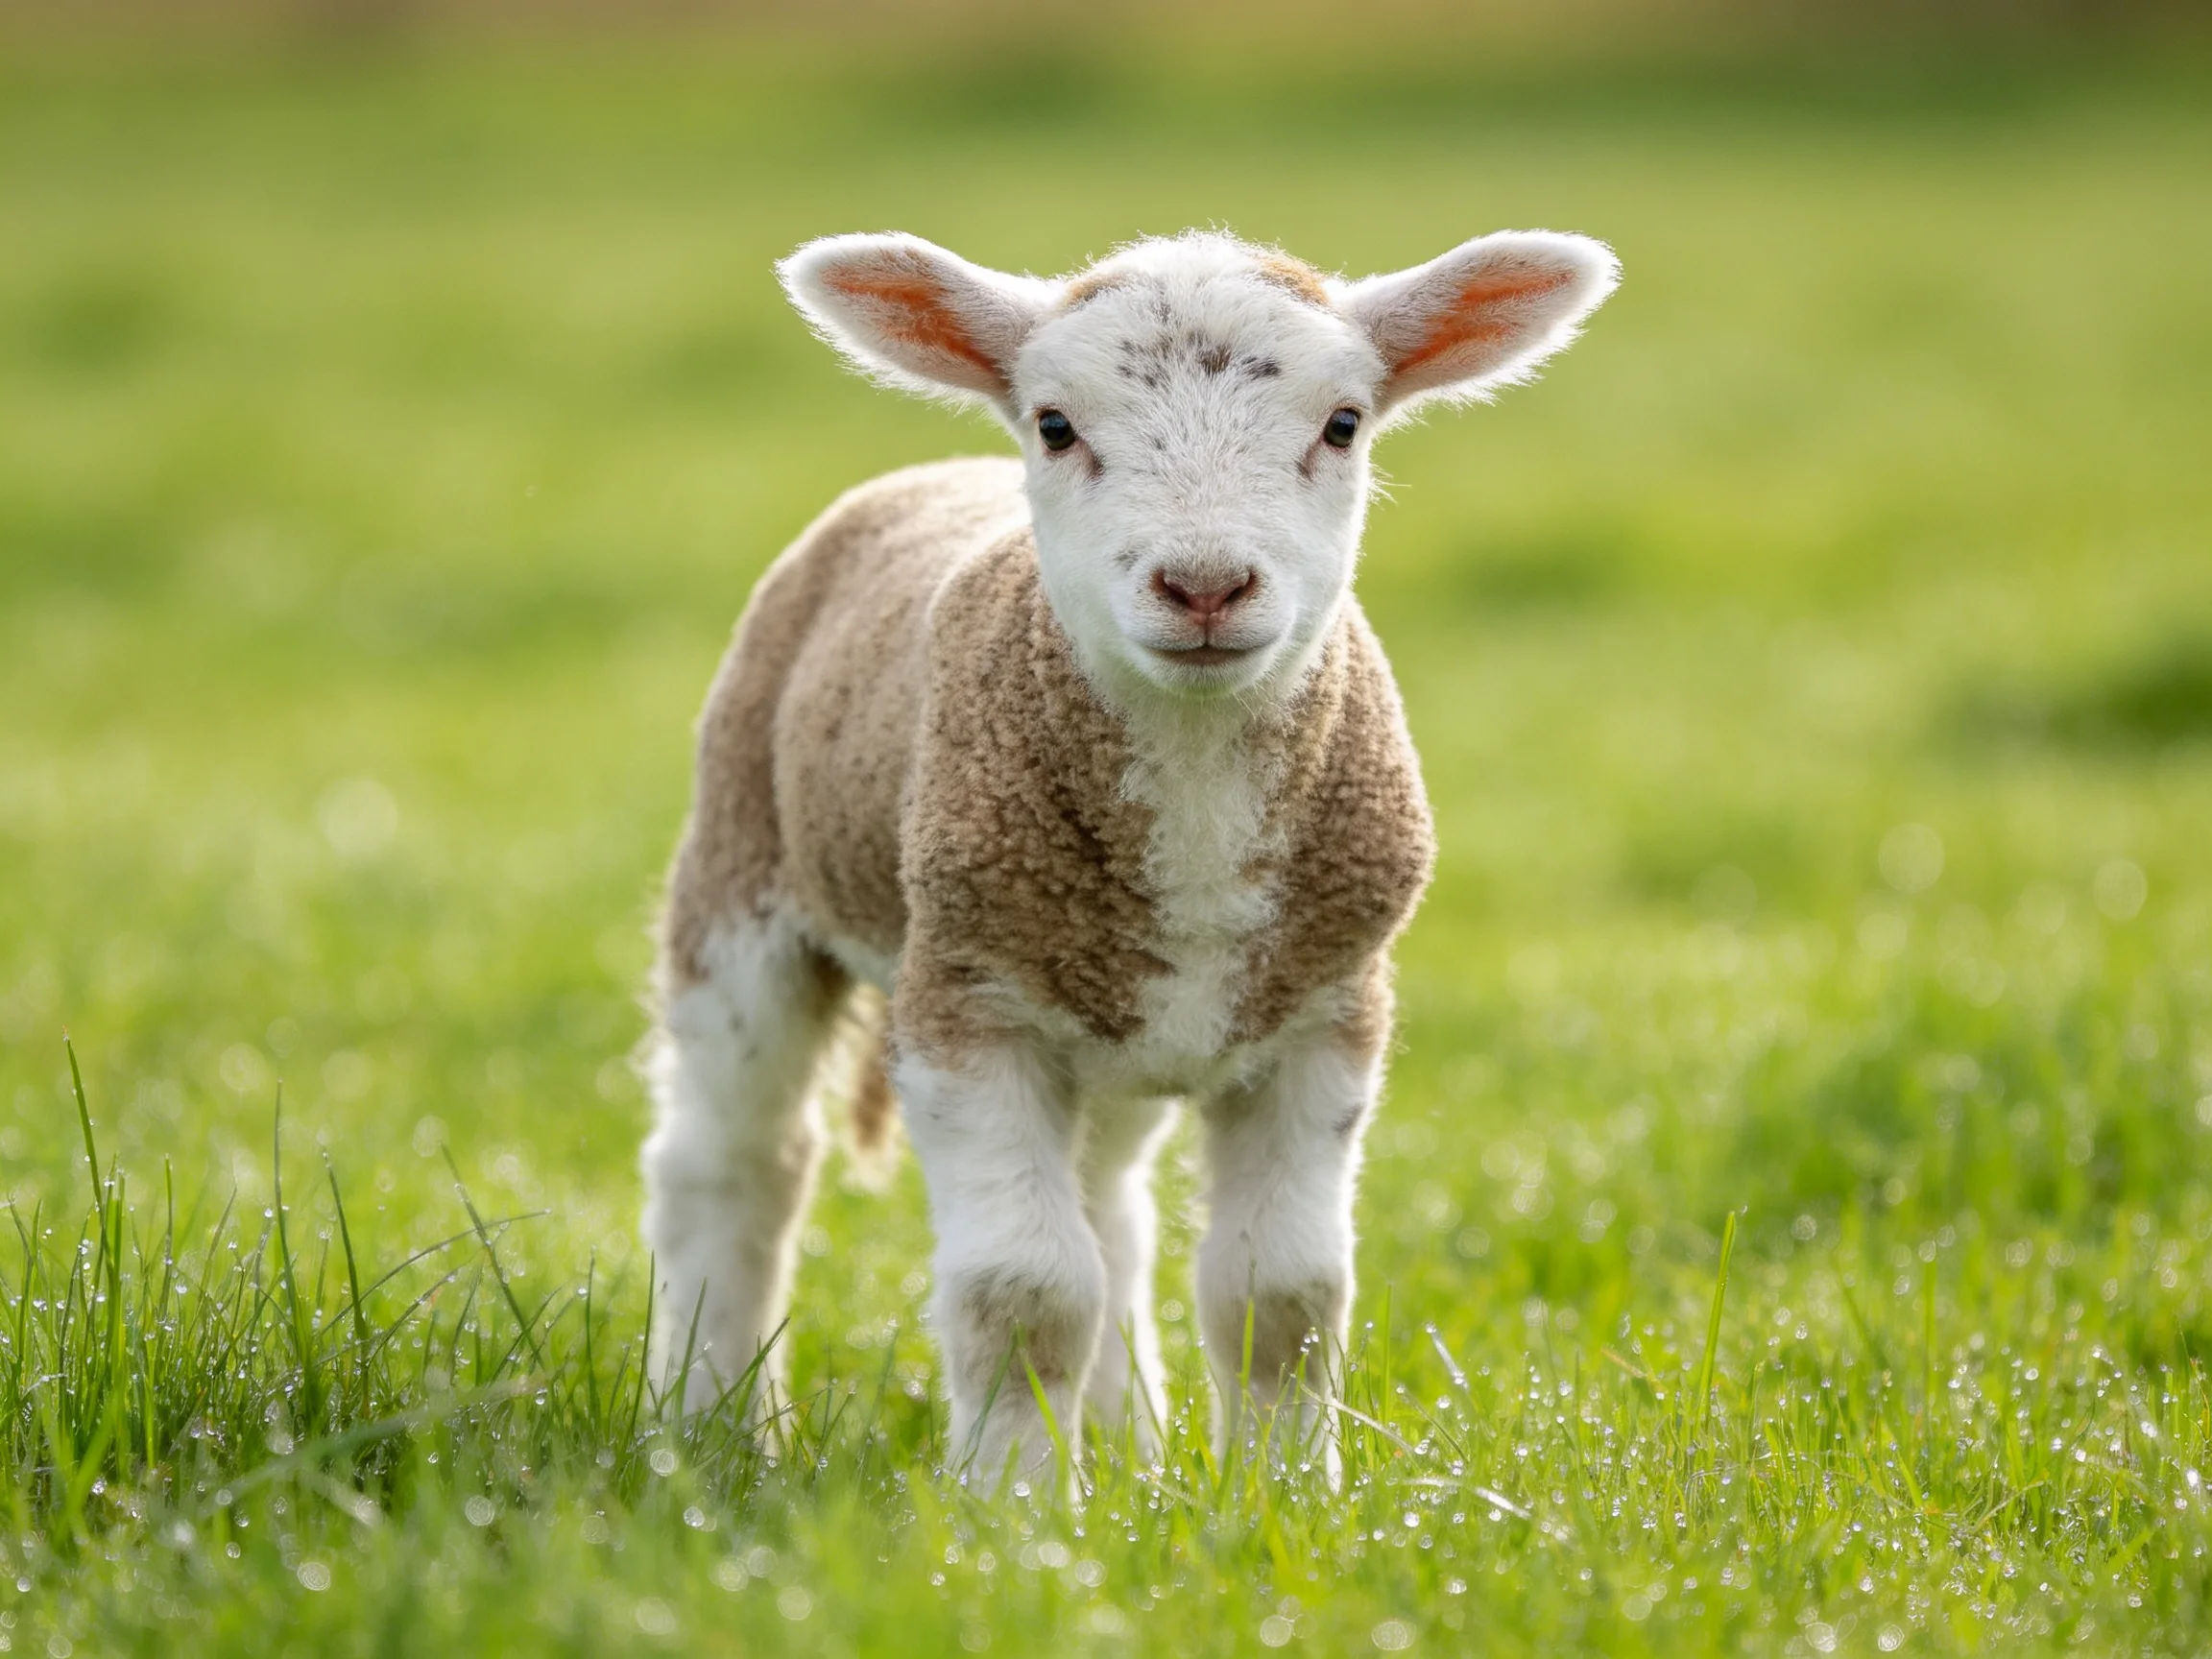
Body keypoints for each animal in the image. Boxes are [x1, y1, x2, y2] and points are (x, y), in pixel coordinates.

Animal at [640, 227, 1618, 1484]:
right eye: (1056, 424)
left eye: (1344, 423)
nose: (1204, 585)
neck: (1194, 797)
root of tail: (928, 475)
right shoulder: (965, 997)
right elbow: (1023, 1295)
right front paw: (1011, 1509)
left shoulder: (1330, 1010)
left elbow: (1282, 1298)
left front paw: (1283, 1496)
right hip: (743, 873)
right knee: (733, 1167)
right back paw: (702, 1433)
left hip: (1114, 1017)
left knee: (1110, 1205)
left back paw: (1125, 1448)